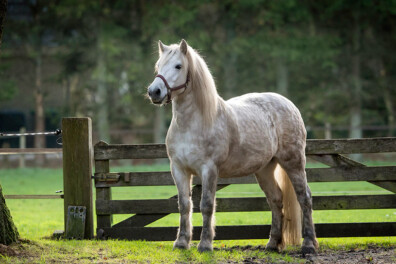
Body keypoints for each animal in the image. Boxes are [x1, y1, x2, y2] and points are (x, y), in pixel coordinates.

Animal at [147, 39, 318, 254]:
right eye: (157, 66)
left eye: (178, 66)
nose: (154, 92)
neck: (192, 124)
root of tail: (289, 104)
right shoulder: (178, 169)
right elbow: (184, 205)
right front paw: (181, 242)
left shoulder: (209, 169)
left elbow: (207, 205)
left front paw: (205, 244)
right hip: (264, 169)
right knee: (276, 199)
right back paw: (272, 244)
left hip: (293, 163)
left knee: (304, 198)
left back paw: (309, 244)